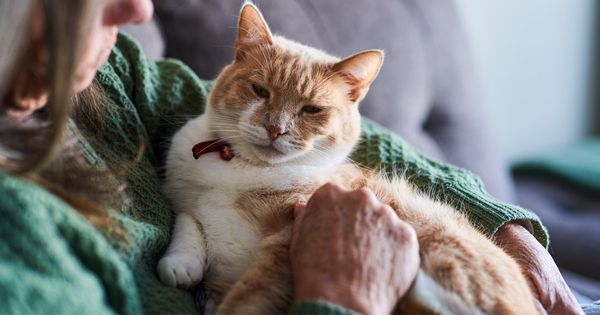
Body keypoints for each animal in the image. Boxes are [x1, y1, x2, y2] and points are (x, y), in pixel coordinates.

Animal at [157, 3, 536, 315]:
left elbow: (250, 297)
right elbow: (189, 220)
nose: (275, 128)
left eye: (311, 109)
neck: (244, 170)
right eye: (260, 91)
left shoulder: (287, 240)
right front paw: (180, 264)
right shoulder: (186, 201)